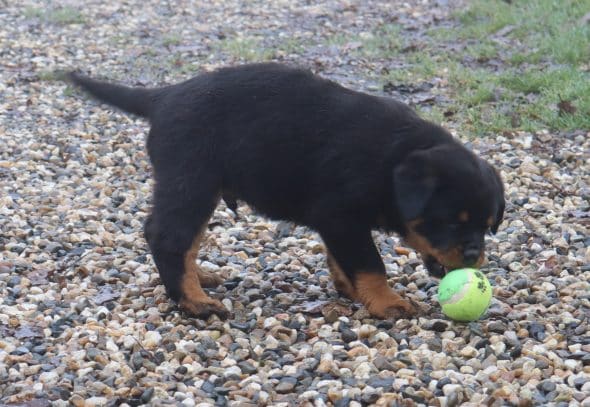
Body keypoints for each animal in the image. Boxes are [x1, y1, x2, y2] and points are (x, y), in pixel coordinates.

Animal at [68, 63, 504, 318]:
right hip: (190, 182)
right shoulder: (340, 215)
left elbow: (342, 259)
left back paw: (200, 279)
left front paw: (349, 289)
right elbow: (370, 263)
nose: (473, 255)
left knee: (185, 239)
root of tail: (164, 96)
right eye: (451, 222)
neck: (392, 160)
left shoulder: (339, 223)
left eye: (487, 226)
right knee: (167, 237)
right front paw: (387, 302)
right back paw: (194, 301)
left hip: (197, 188)